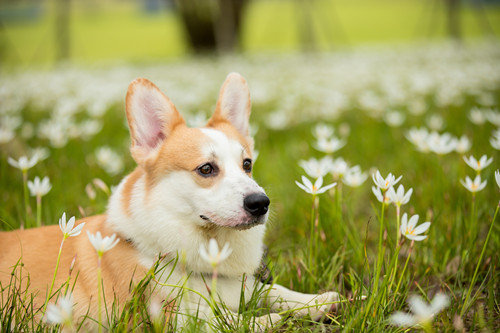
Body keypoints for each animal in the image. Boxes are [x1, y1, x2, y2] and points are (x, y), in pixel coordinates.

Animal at [0, 72, 340, 330]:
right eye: (206, 169)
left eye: (247, 164)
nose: (260, 203)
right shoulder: (171, 317)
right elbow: (233, 320)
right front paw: (274, 319)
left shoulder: (246, 287)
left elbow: (276, 292)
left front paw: (317, 301)